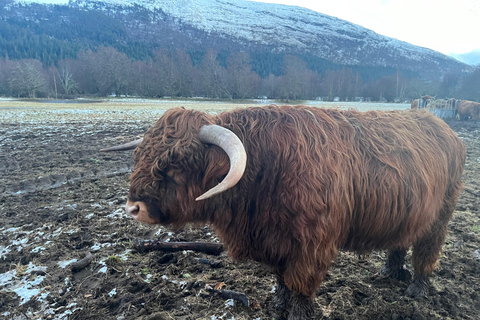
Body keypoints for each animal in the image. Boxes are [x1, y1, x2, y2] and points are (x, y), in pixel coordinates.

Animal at [101, 105, 464, 320]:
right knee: (402, 240)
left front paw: (298, 313)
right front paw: (278, 304)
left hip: (442, 214)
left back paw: (417, 286)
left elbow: (301, 282)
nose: (133, 206)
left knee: (428, 247)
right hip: (409, 209)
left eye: (173, 164)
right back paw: (390, 272)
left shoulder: (313, 242)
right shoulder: (276, 239)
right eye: (141, 156)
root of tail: (441, 123)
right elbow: (281, 278)